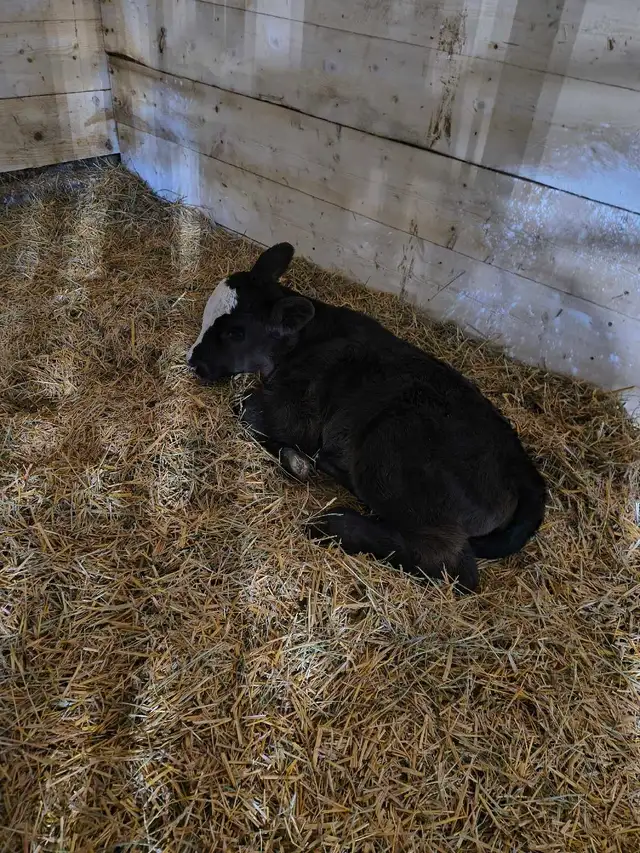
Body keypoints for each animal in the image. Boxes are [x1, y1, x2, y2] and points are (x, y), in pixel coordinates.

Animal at [187, 243, 546, 592]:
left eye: (235, 333)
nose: (194, 361)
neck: (305, 341)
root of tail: (522, 469)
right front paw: (297, 459)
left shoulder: (299, 410)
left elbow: (246, 409)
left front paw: (294, 459)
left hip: (393, 448)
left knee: (453, 566)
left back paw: (334, 523)